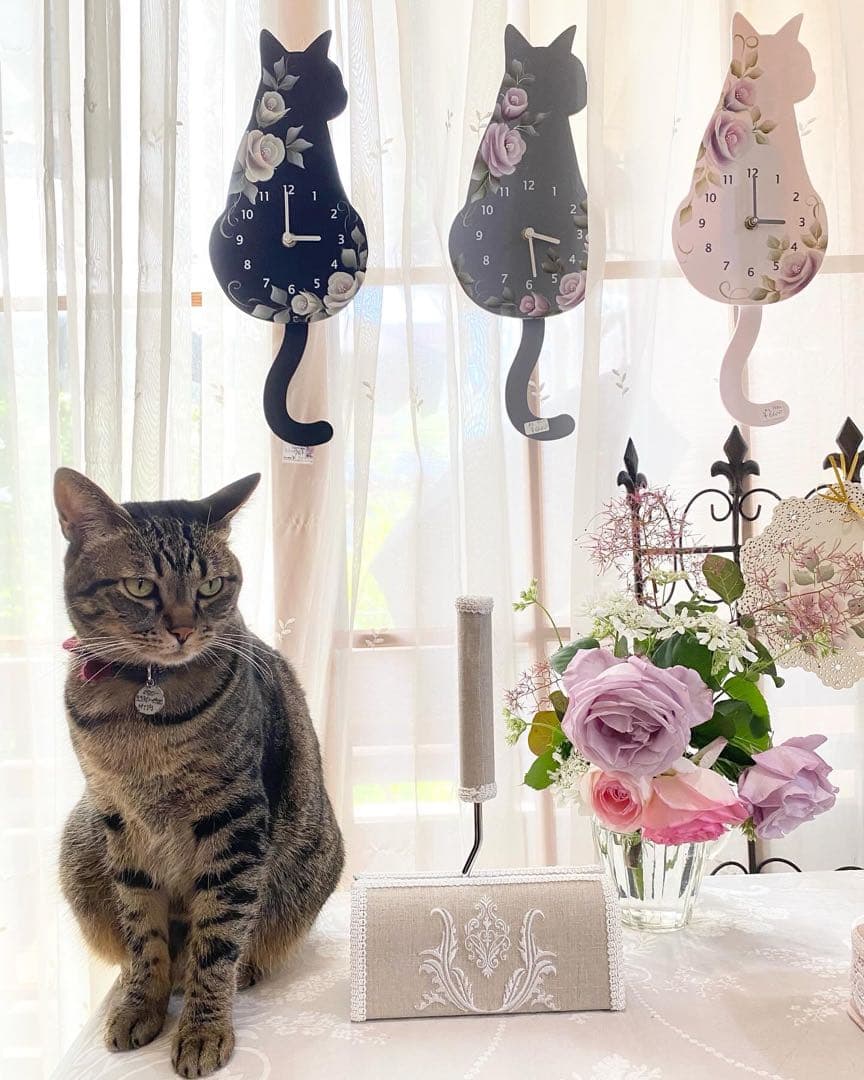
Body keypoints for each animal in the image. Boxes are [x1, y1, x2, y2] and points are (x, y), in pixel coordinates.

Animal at [53, 467, 343, 1078]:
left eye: (211, 587)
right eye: (141, 587)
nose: (184, 629)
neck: (142, 705)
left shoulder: (233, 819)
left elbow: (218, 937)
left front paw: (204, 1029)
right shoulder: (118, 820)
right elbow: (142, 930)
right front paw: (142, 1002)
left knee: (246, 940)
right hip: (79, 842)